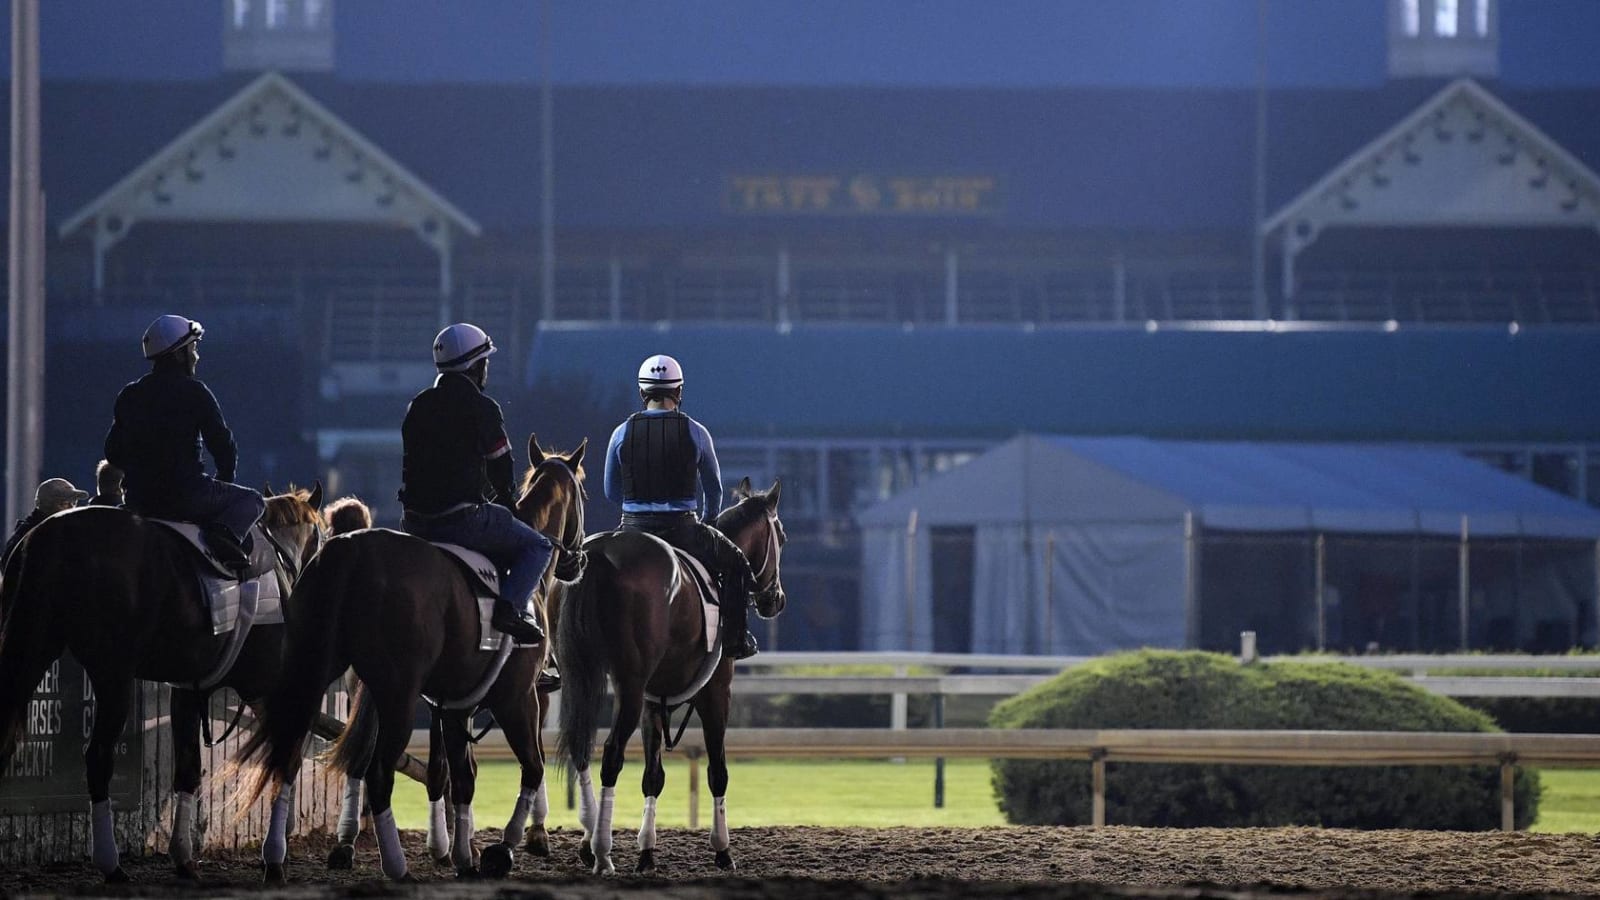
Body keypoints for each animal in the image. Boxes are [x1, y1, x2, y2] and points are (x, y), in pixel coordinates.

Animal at [0, 480, 324, 877]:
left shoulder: (188, 691)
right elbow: (286, 758)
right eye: (320, 538)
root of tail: (54, 536)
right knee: (98, 757)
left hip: (31, 652)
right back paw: (110, 864)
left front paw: (183, 855)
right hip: (113, 674)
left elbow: (188, 767)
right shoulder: (264, 687)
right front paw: (275, 854)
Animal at [236, 435, 588, 883]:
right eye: (583, 494)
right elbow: (531, 766)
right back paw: (396, 866)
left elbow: (462, 778)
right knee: (377, 772)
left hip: (313, 674)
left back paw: (276, 859)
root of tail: (350, 550)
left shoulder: (456, 707)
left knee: (290, 754)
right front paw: (501, 849)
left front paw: (465, 856)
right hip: (398, 694)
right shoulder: (518, 698)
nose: (577, 560)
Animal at [560, 474, 790, 871]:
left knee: (581, 747)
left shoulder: (654, 702)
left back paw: (589, 842)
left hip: (581, 675)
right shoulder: (716, 692)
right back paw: (602, 852)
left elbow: (653, 776)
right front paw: (722, 849)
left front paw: (647, 850)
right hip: (629, 684)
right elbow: (718, 771)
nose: (776, 599)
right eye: (782, 536)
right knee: (611, 753)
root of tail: (601, 553)